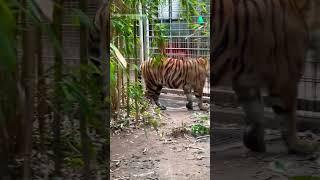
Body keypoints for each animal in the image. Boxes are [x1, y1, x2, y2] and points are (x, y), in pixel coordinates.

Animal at [211, 0, 318, 155]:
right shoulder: (286, 78)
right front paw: (300, 146)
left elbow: (255, 111)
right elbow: (289, 118)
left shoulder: (245, 80)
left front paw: (255, 142)